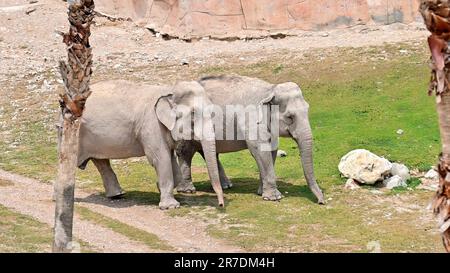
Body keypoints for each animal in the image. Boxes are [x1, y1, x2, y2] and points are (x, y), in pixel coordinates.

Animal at [73, 79, 224, 208]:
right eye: (193, 113)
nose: (221, 205)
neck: (169, 88)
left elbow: (170, 159)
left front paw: (159, 187)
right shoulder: (151, 124)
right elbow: (160, 158)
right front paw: (170, 206)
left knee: (101, 162)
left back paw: (117, 195)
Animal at [174, 75, 326, 203]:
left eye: (307, 110)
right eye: (290, 117)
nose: (321, 201)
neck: (270, 89)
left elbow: (271, 150)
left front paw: (261, 192)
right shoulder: (252, 120)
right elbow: (260, 150)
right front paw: (274, 198)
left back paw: (226, 186)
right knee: (185, 152)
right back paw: (188, 190)